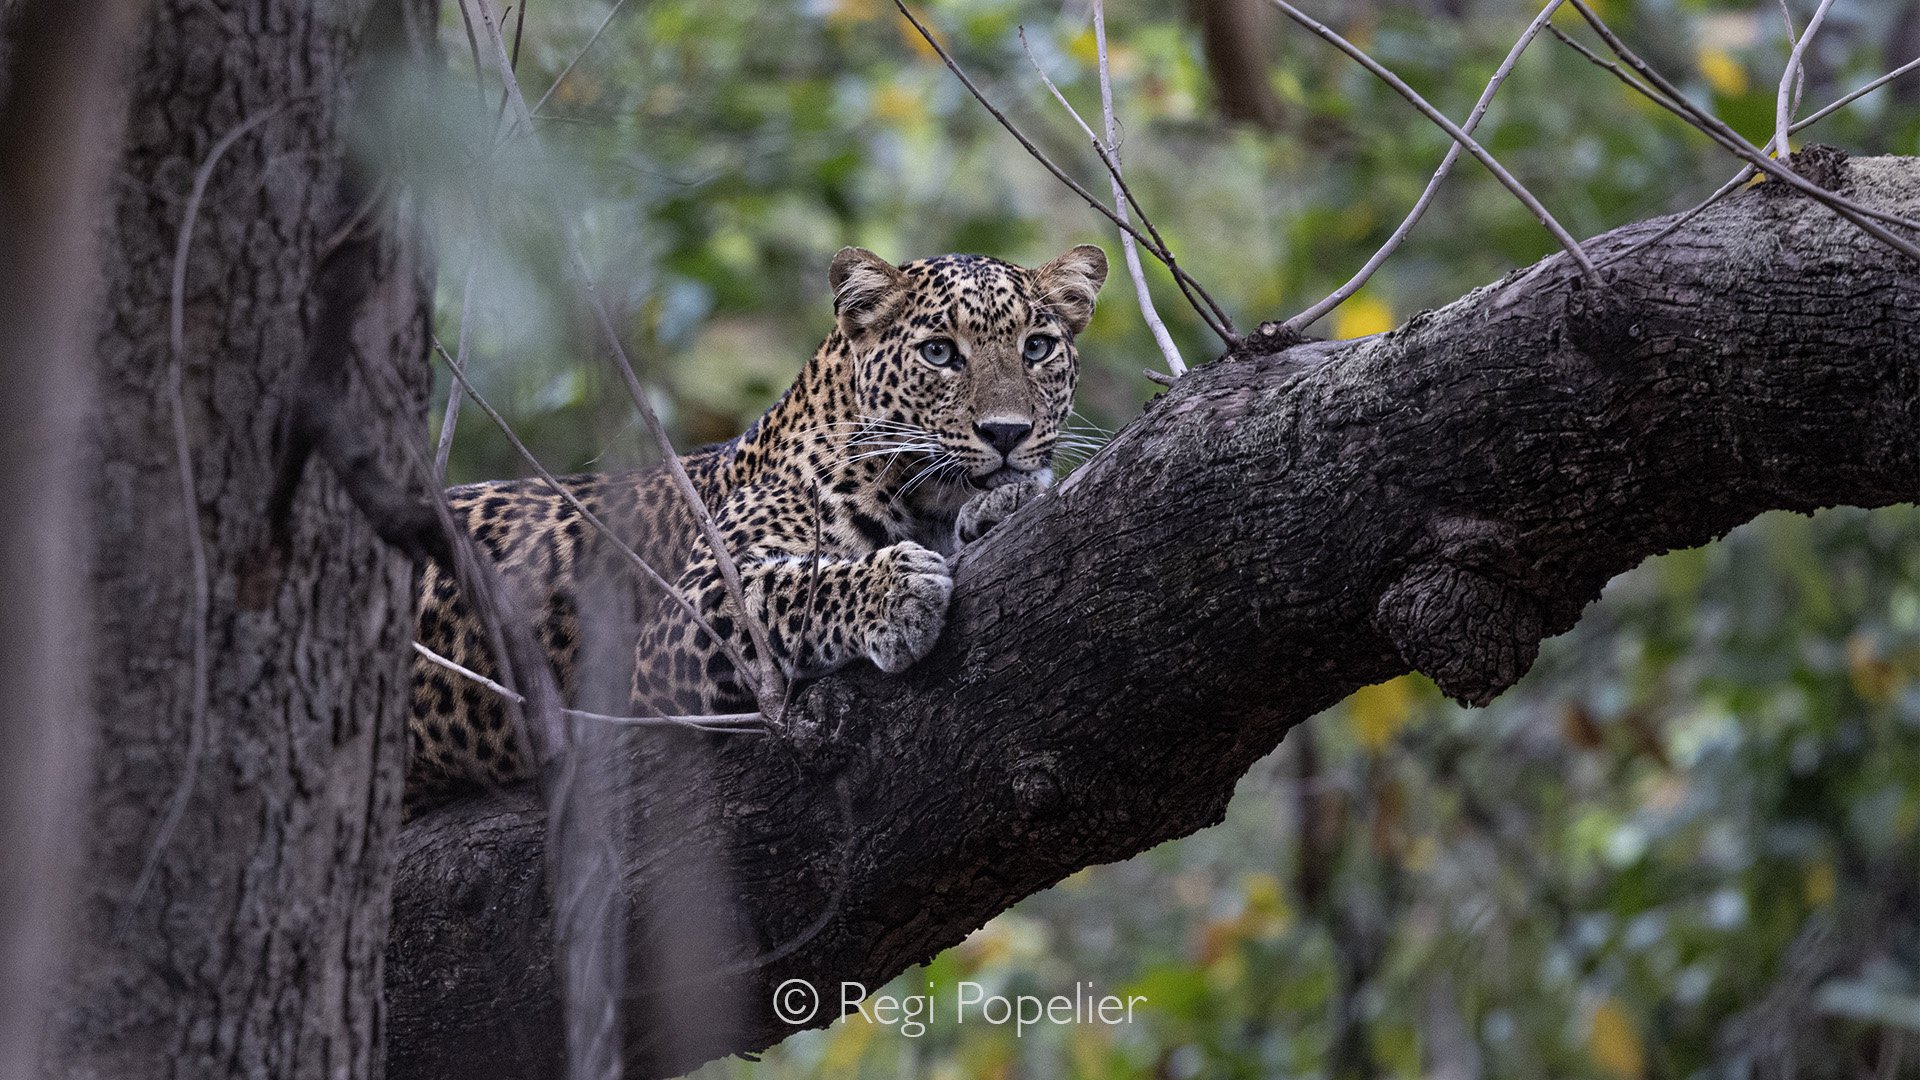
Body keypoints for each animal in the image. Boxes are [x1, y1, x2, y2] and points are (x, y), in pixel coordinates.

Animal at [405, 244, 1108, 813]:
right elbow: (793, 590)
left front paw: (1008, 501)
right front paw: (894, 591)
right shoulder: (687, 610)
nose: (1007, 433)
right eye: (939, 353)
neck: (924, 499)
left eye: (1037, 347)